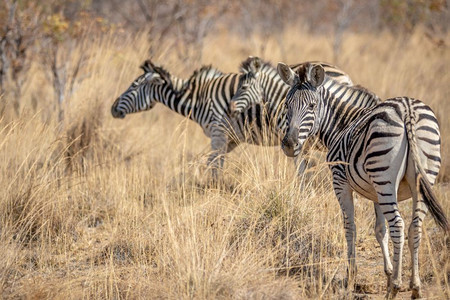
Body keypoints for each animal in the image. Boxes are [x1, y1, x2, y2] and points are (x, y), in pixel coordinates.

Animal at [278, 62, 446, 298]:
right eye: (287, 105)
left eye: (312, 106)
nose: (289, 145)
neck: (341, 124)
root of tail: (407, 110)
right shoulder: (376, 193)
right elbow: (380, 230)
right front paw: (388, 274)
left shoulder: (340, 181)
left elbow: (350, 226)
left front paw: (352, 276)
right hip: (421, 179)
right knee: (414, 227)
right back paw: (415, 287)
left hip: (384, 177)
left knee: (399, 225)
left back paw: (396, 287)